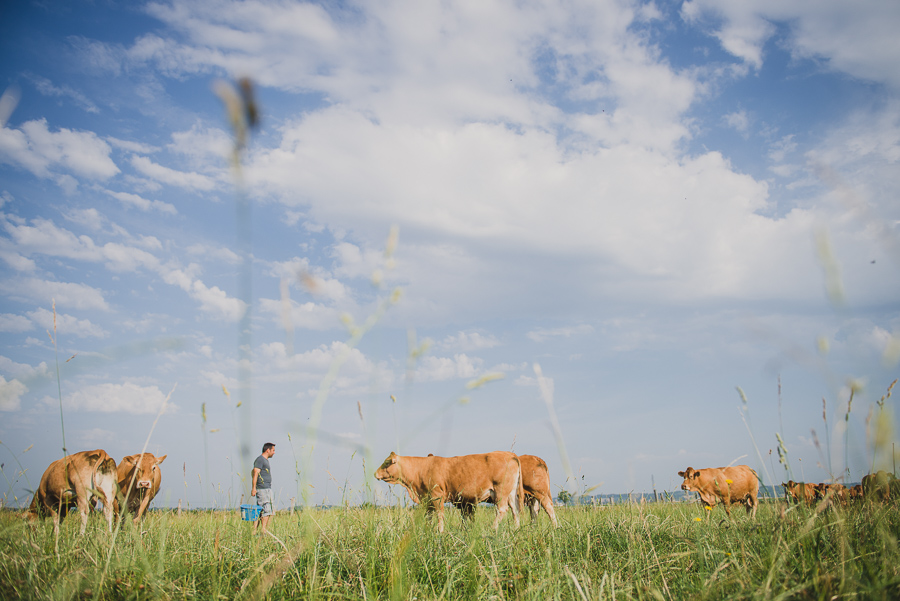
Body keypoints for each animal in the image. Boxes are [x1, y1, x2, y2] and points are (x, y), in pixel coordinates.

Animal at [374, 448, 528, 532]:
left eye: (387, 462)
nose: (375, 474)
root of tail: (509, 454)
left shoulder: (437, 495)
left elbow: (440, 515)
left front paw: (440, 531)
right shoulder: (428, 499)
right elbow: (429, 516)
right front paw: (427, 530)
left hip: (501, 491)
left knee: (502, 510)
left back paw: (493, 528)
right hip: (511, 493)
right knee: (515, 510)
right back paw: (516, 529)